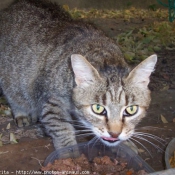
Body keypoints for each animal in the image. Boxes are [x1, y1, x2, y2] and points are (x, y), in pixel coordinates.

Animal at [0, 0, 157, 150]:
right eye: (98, 109)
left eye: (131, 110)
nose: (114, 133)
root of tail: (15, 4)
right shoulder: (52, 102)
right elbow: (62, 129)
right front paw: (69, 152)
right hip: (11, 80)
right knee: (15, 97)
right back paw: (21, 113)